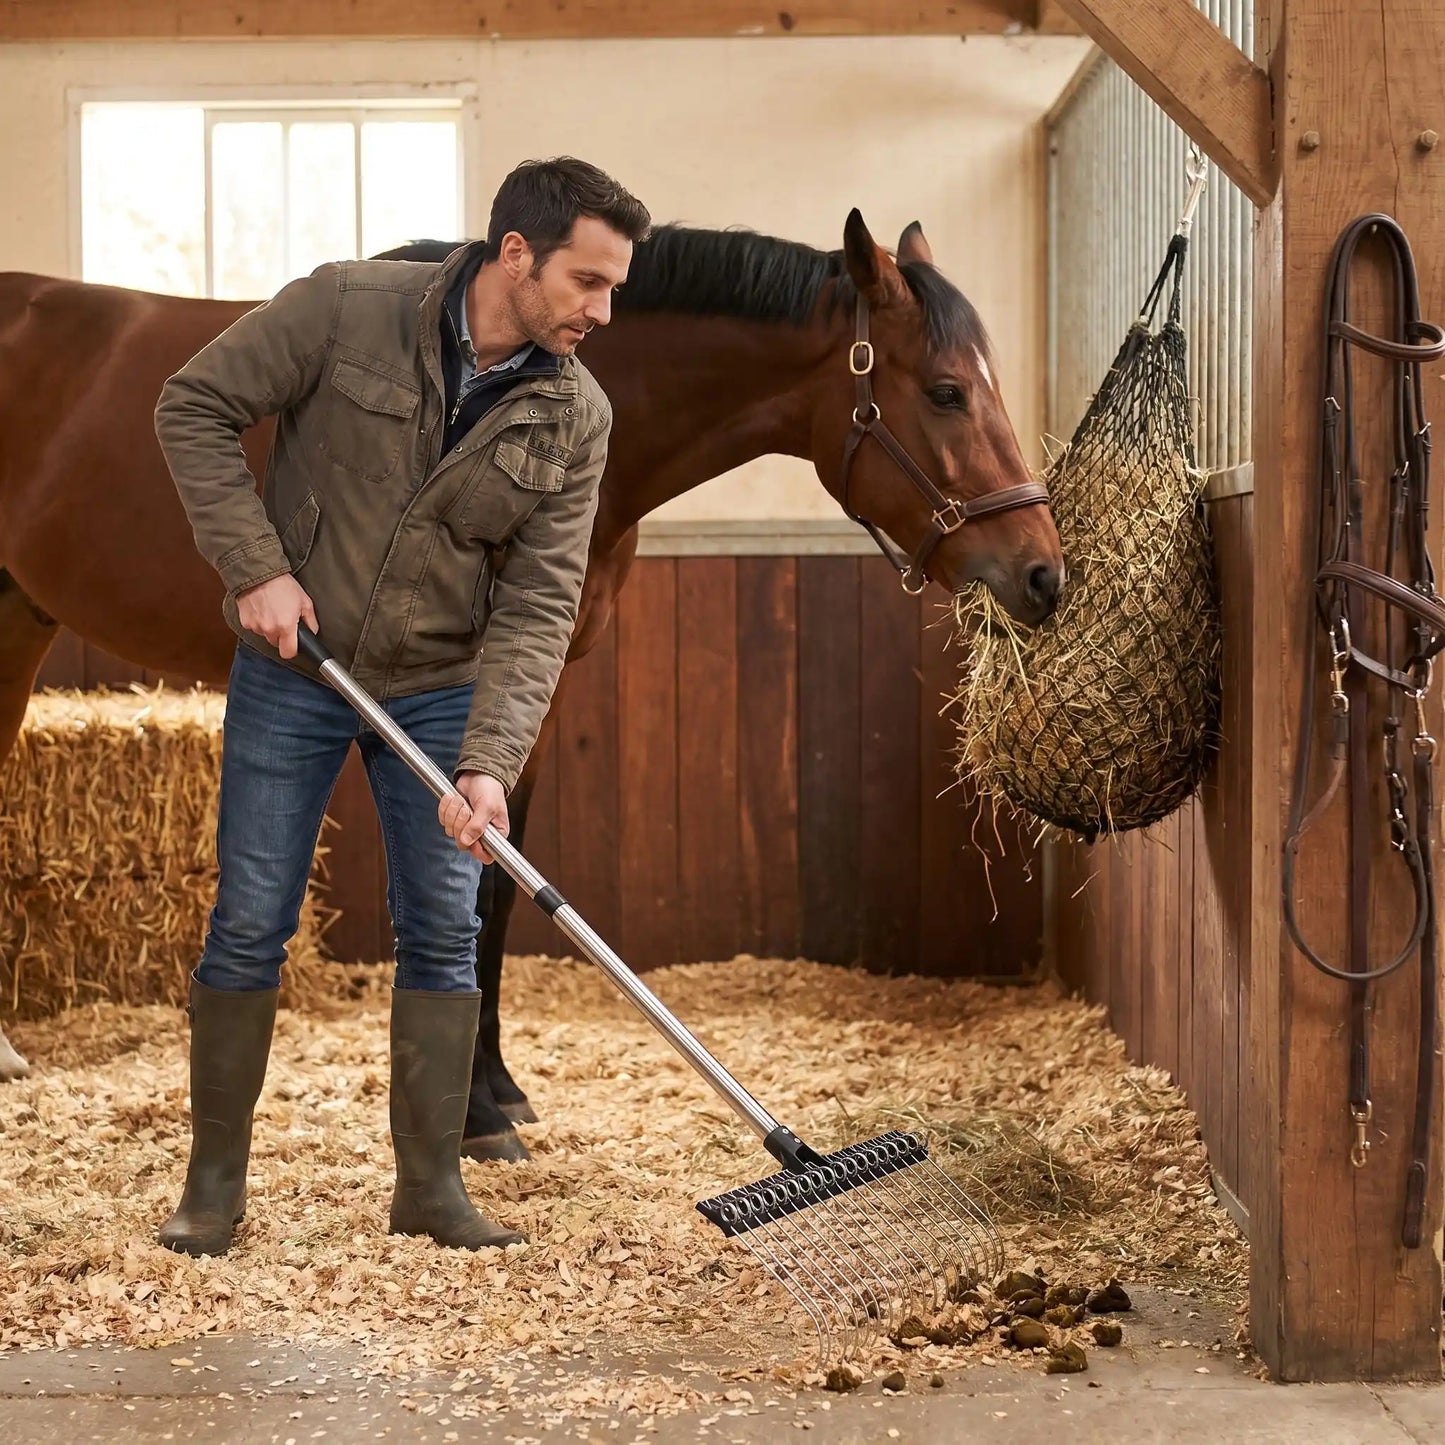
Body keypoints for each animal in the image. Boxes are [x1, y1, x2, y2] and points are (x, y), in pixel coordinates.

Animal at [0, 212, 1063, 1136]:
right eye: (945, 391)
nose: (1043, 574)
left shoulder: (534, 677)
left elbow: (503, 885)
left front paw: (497, 1088)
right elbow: (468, 888)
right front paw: (472, 1111)